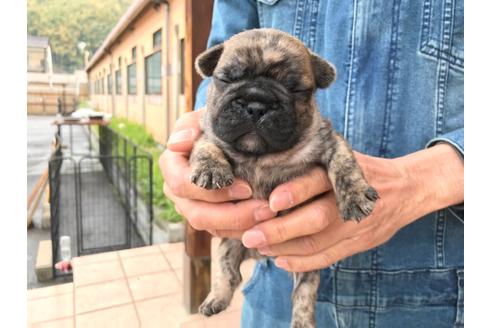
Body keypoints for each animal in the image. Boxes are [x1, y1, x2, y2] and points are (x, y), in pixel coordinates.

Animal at [190, 28, 378, 328]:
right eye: (226, 79)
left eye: (296, 89)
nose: (257, 104)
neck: (261, 156)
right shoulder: (208, 133)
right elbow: (206, 146)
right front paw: (211, 168)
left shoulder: (328, 140)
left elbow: (344, 163)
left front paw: (356, 196)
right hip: (227, 245)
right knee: (228, 273)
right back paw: (215, 299)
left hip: (307, 267)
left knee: (303, 293)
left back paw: (302, 321)